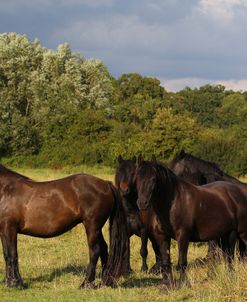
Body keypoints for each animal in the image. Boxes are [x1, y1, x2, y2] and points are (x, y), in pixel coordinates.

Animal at [134, 157, 247, 286]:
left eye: (153, 179)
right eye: (137, 178)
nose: (142, 203)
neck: (174, 202)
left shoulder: (183, 236)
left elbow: (182, 261)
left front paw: (183, 283)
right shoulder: (163, 237)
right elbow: (166, 261)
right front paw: (168, 284)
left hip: (234, 234)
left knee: (230, 256)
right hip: (222, 236)